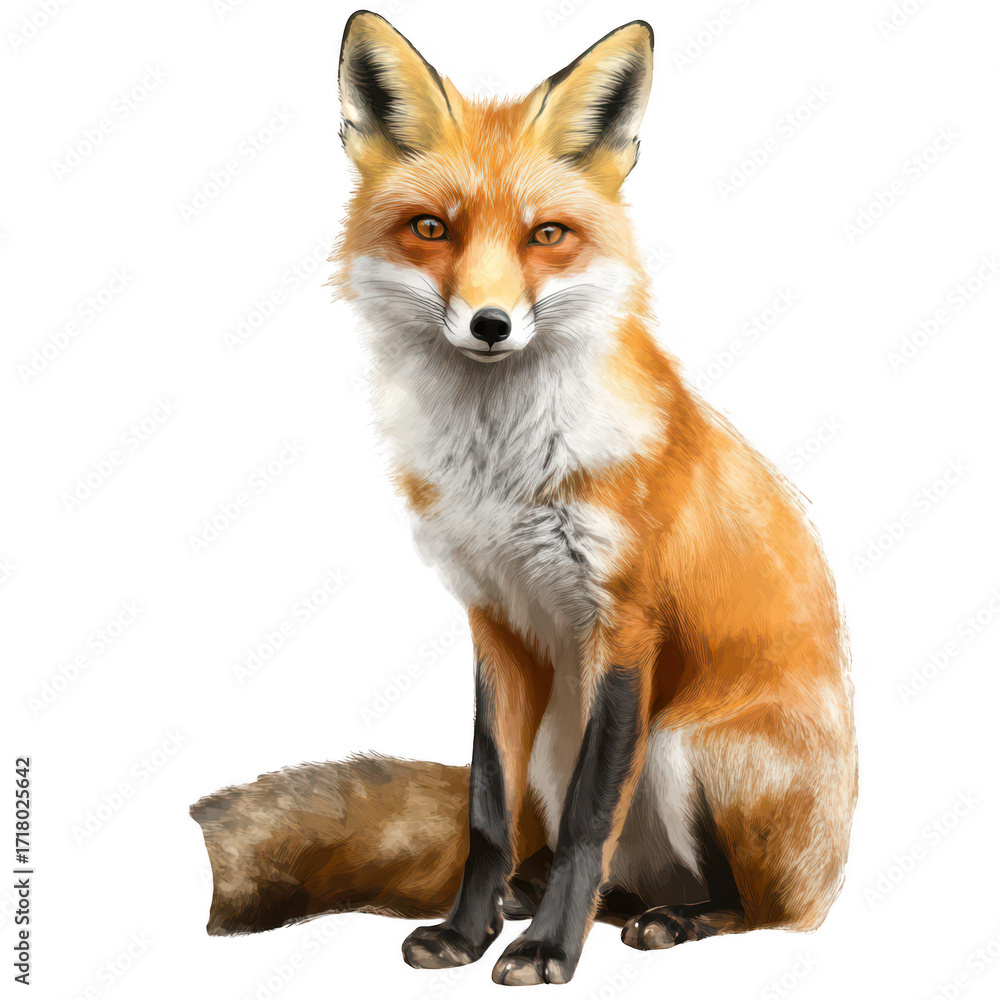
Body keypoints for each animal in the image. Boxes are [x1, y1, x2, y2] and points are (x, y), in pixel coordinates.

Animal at [190, 11, 858, 988]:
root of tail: (829, 875)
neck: (502, 471)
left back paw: (671, 918)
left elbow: (589, 818)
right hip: (559, 730)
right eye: (432, 228)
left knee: (759, 910)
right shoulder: (496, 625)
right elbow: (483, 812)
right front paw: (467, 932)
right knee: (595, 868)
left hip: (682, 746)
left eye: (547, 235)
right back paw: (542, 897)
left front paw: (548, 951)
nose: (491, 324)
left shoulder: (624, 624)